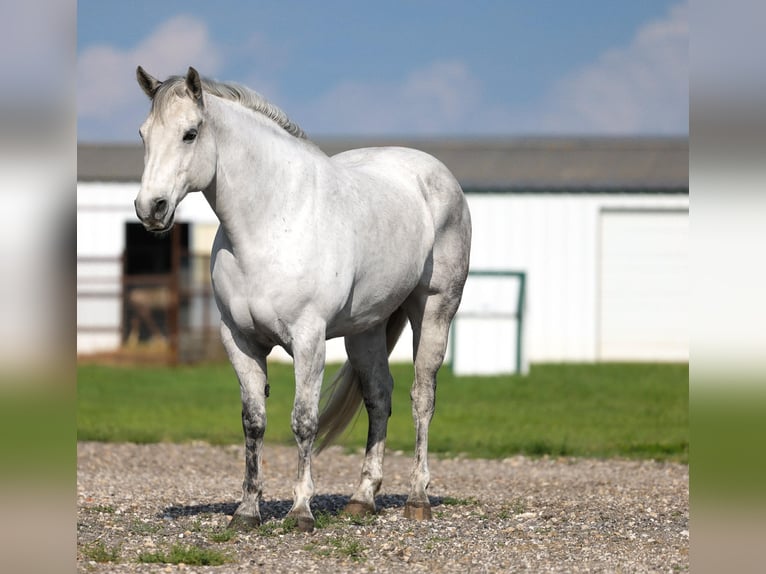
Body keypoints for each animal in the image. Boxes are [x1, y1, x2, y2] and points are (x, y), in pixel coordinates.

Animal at [133, 66, 471, 532]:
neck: (271, 221)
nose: (151, 208)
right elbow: (254, 423)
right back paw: (363, 498)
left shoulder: (308, 338)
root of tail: (438, 176)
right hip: (366, 330)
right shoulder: (240, 340)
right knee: (379, 397)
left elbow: (303, 421)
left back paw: (417, 498)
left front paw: (300, 511)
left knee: (422, 396)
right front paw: (247, 511)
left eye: (190, 133)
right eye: (144, 134)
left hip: (435, 309)